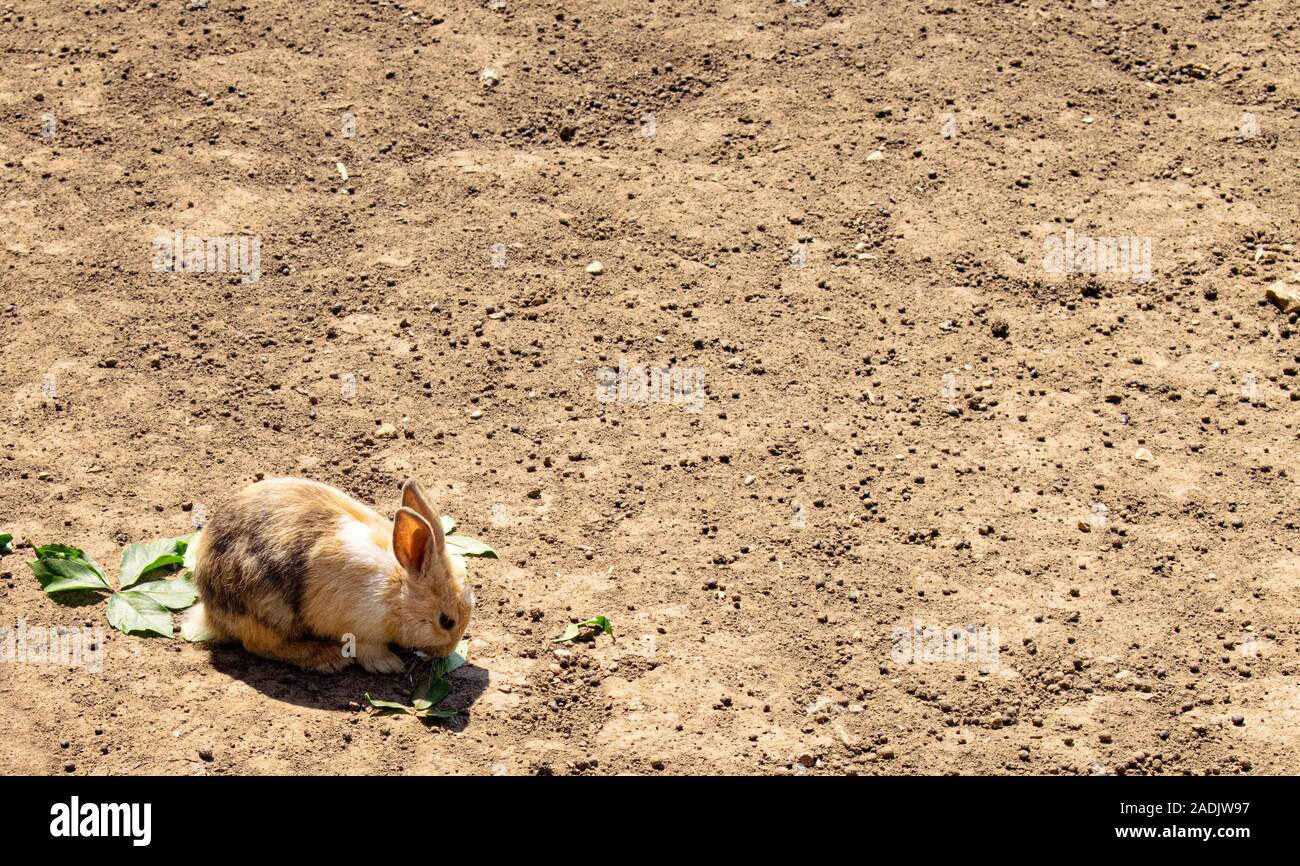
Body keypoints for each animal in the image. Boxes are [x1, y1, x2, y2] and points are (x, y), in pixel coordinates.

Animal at [182, 477, 474, 673]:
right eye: (446, 621)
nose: (447, 651)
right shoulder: (359, 629)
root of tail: (209, 611)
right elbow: (369, 650)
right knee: (259, 645)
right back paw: (327, 658)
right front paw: (389, 665)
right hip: (268, 609)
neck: (396, 590)